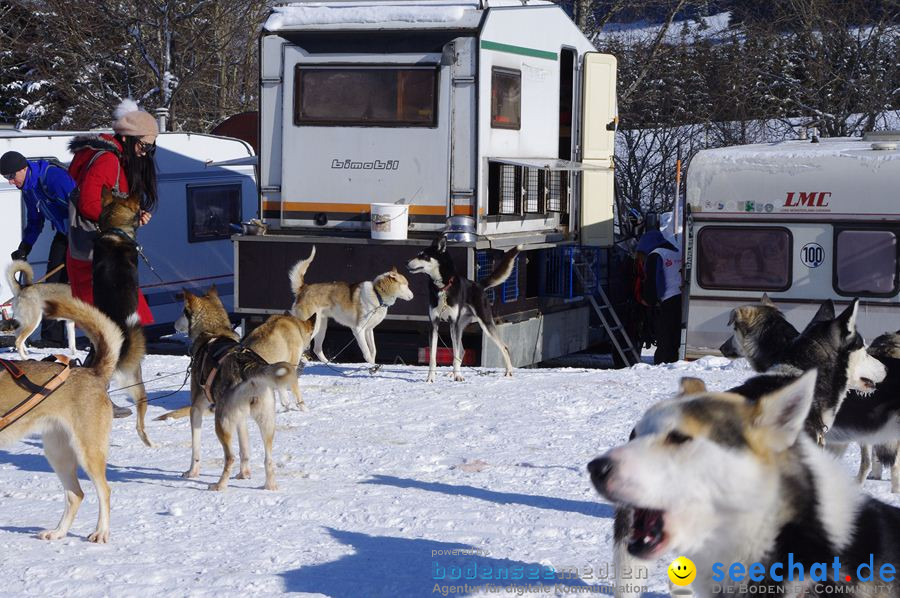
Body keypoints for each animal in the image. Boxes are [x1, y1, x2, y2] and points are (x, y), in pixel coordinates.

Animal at [0, 296, 123, 544]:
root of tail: (92, 372)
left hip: (87, 452)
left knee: (104, 491)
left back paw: (101, 531)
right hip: (58, 454)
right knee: (76, 494)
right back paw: (58, 532)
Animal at [158, 290, 302, 492]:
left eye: (182, 311)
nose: (173, 324)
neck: (214, 332)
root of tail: (249, 369)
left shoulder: (196, 409)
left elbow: (196, 448)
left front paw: (192, 472)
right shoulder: (241, 419)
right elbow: (245, 450)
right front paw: (244, 474)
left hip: (221, 422)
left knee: (230, 457)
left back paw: (219, 485)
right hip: (266, 423)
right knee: (268, 459)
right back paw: (270, 485)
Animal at [408, 237, 520, 382]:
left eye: (424, 256)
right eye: (418, 254)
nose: (406, 263)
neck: (443, 288)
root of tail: (478, 285)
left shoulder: (453, 323)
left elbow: (454, 352)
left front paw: (458, 376)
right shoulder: (434, 324)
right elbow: (433, 357)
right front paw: (431, 378)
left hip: (482, 323)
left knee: (503, 347)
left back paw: (508, 371)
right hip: (458, 327)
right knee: (461, 351)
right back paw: (452, 373)